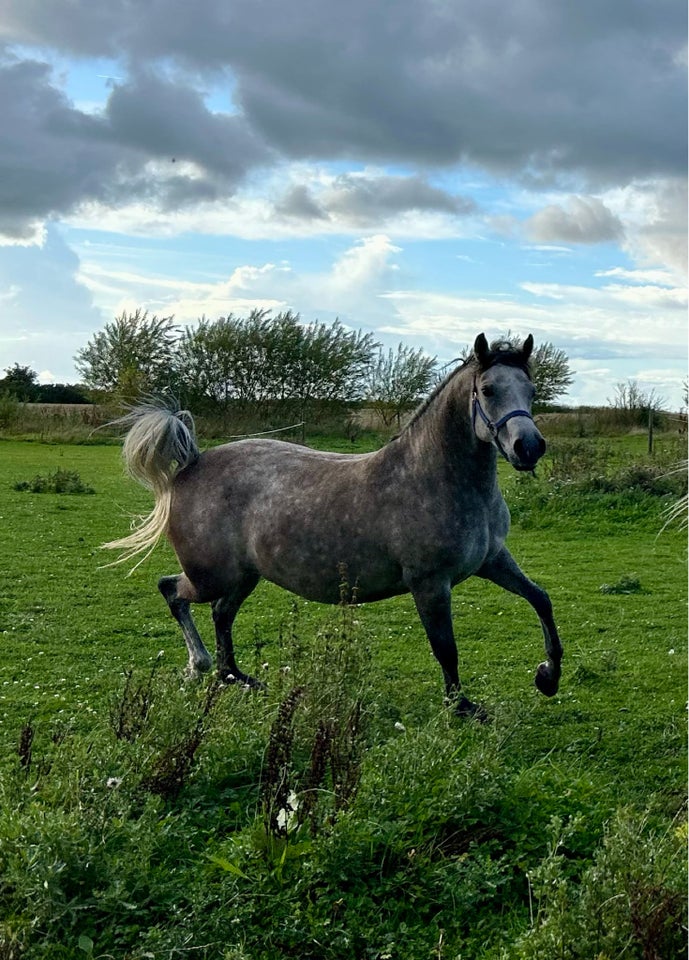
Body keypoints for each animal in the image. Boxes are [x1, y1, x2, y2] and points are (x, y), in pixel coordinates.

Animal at [106, 334, 560, 716]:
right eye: (488, 390)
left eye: (532, 391)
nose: (529, 447)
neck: (435, 477)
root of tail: (193, 463)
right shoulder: (430, 583)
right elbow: (445, 648)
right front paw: (461, 707)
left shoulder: (493, 561)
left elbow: (541, 599)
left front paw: (548, 677)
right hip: (211, 576)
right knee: (172, 591)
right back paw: (199, 665)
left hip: (243, 577)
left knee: (221, 614)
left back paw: (236, 676)